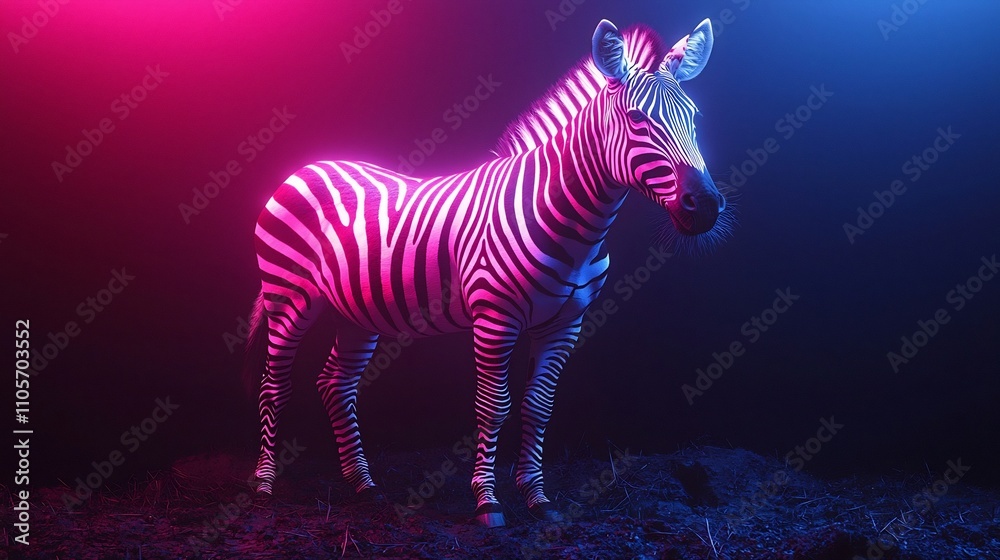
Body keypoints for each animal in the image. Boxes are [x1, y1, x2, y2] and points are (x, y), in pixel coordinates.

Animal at [245, 18, 729, 528]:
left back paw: (364, 486)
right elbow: (494, 405)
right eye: (638, 120)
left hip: (357, 311)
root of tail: (308, 167)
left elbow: (539, 407)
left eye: (695, 118)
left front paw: (538, 497)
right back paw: (264, 485)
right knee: (274, 385)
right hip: (288, 298)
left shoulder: (566, 323)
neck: (573, 224)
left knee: (335, 384)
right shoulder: (495, 318)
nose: (705, 206)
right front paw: (488, 501)